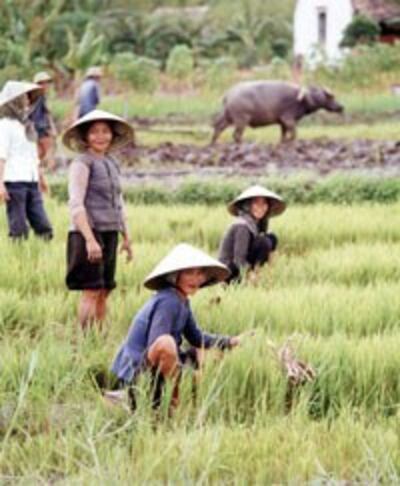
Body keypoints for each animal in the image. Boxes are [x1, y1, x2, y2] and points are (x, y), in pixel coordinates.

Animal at [211, 79, 346, 143]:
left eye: (325, 95)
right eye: (316, 93)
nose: (341, 107)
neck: (299, 101)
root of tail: (228, 95)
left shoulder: (282, 123)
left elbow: (284, 136)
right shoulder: (288, 120)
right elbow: (294, 134)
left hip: (227, 117)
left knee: (218, 128)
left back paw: (212, 144)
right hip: (241, 120)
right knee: (236, 135)